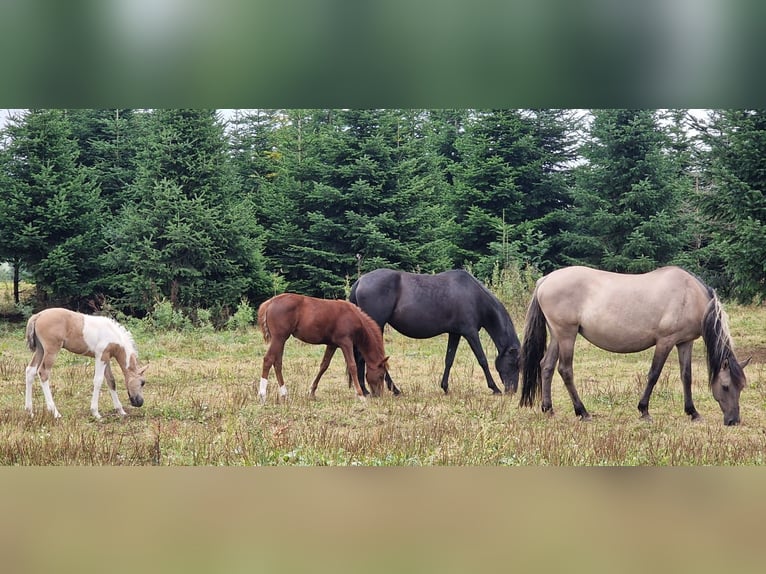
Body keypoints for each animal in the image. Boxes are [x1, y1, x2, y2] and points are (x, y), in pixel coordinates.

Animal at [258, 294, 390, 402]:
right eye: (381, 375)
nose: (379, 395)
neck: (354, 317)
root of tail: (270, 303)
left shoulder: (332, 345)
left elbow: (324, 366)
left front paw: (311, 392)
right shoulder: (346, 342)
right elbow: (352, 366)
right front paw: (360, 395)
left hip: (281, 340)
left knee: (277, 363)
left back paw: (285, 394)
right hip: (279, 338)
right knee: (268, 359)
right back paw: (262, 395)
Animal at [350, 268, 520, 396]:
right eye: (514, 363)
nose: (512, 390)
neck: (474, 296)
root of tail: (360, 281)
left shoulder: (455, 333)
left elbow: (449, 360)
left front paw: (445, 387)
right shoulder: (470, 333)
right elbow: (482, 360)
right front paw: (494, 388)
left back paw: (368, 390)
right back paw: (385, 390)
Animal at [520, 268, 752, 426]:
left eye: (742, 387)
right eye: (725, 386)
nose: (733, 421)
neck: (690, 295)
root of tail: (546, 279)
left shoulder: (684, 342)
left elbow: (686, 376)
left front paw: (692, 412)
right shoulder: (665, 341)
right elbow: (654, 374)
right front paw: (644, 410)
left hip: (557, 335)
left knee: (547, 366)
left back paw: (548, 409)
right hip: (567, 335)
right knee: (565, 370)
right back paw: (582, 412)